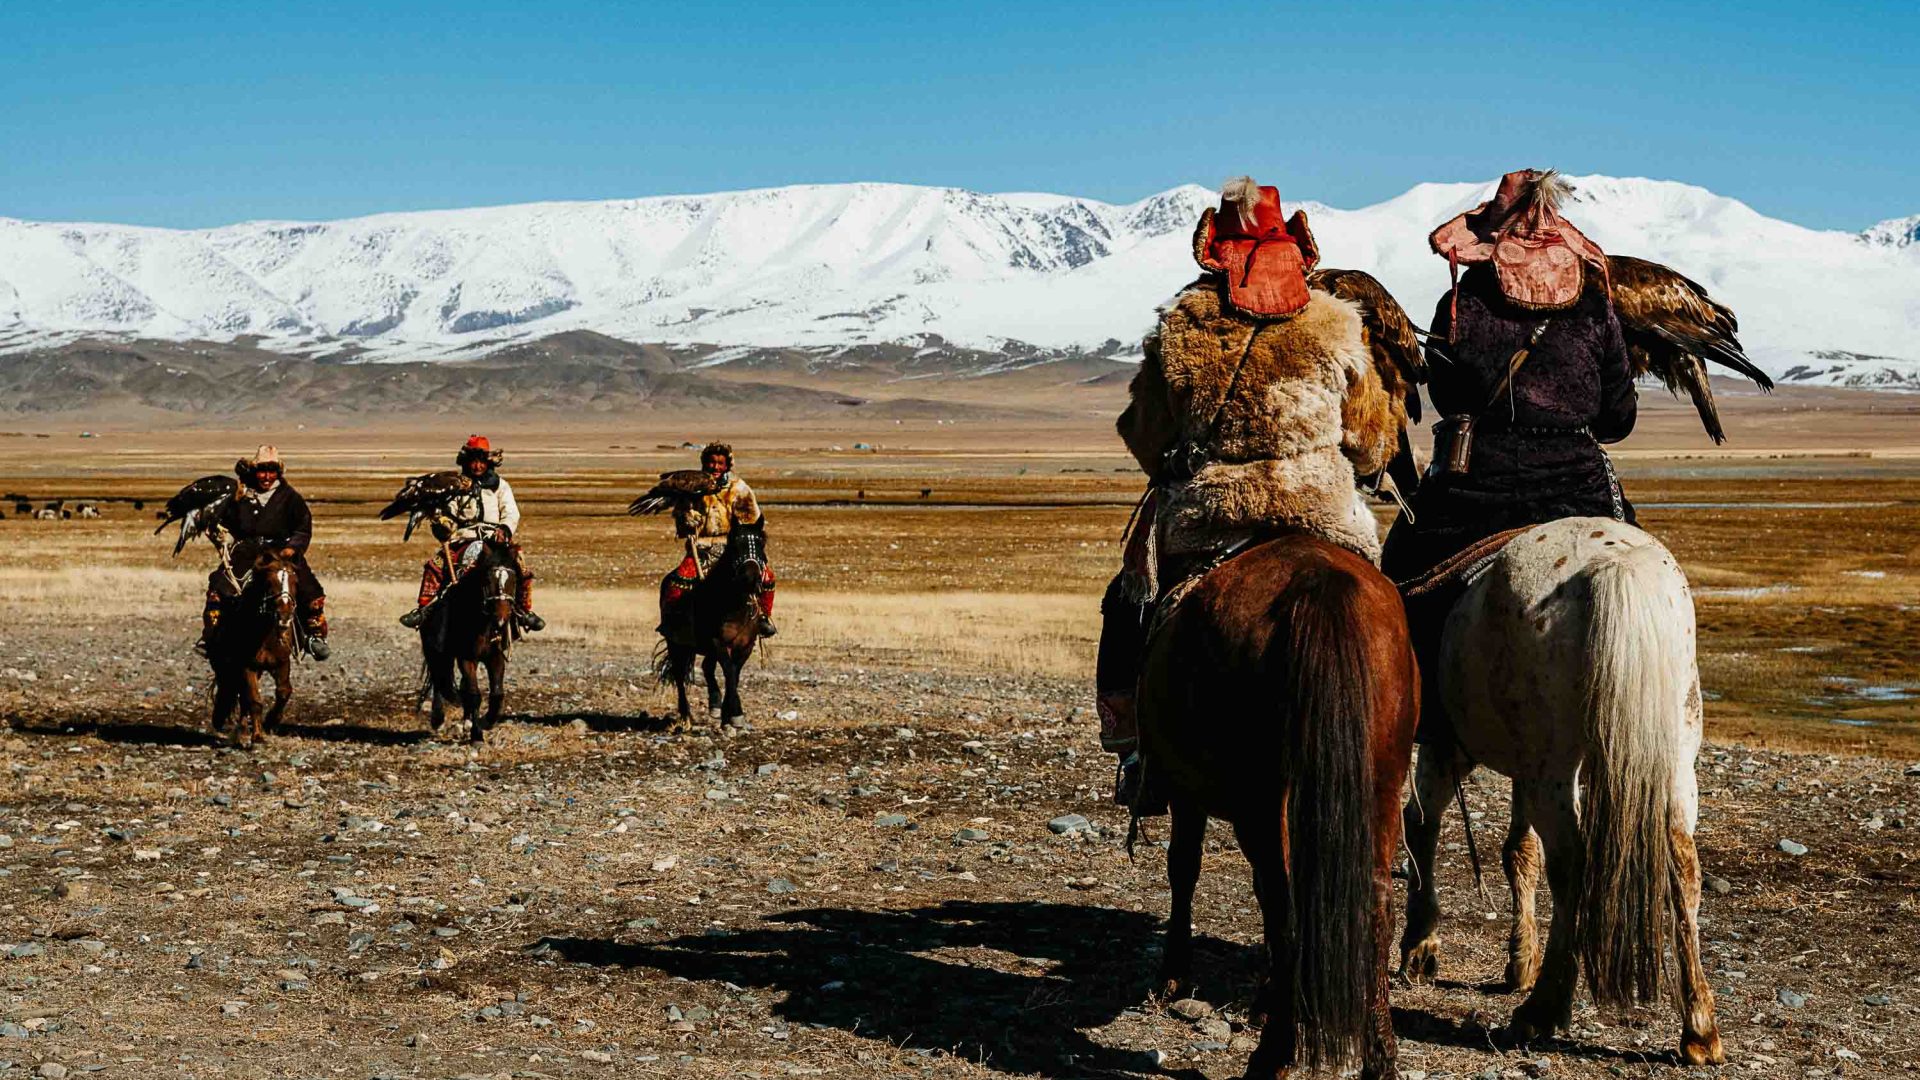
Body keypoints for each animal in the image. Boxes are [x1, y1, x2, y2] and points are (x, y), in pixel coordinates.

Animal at [211, 541, 299, 745]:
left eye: (295, 582)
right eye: (269, 582)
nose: (284, 615)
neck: (265, 637)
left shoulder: (282, 662)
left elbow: (284, 691)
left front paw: (271, 722)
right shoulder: (247, 666)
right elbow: (254, 700)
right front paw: (257, 735)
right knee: (235, 692)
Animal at [416, 530, 514, 737]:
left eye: (514, 580)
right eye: (487, 581)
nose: (501, 619)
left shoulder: (495, 656)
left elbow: (497, 693)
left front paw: (486, 721)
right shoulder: (466, 658)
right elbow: (474, 695)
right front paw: (477, 734)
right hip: (435, 651)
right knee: (439, 680)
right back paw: (438, 719)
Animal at [664, 515, 768, 730]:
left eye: (761, 542)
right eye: (735, 544)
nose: (751, 578)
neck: (735, 606)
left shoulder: (746, 645)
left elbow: (734, 674)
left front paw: (729, 714)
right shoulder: (717, 642)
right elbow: (729, 671)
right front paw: (734, 713)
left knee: (707, 667)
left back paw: (714, 704)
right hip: (676, 644)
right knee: (679, 674)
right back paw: (686, 716)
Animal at [1128, 530, 1420, 1076]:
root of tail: (1320, 585)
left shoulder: (1185, 792)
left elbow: (1184, 867)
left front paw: (1173, 974)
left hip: (1259, 802)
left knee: (1286, 904)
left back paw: (1272, 1057)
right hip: (1382, 783)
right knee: (1374, 900)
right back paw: (1380, 1057)